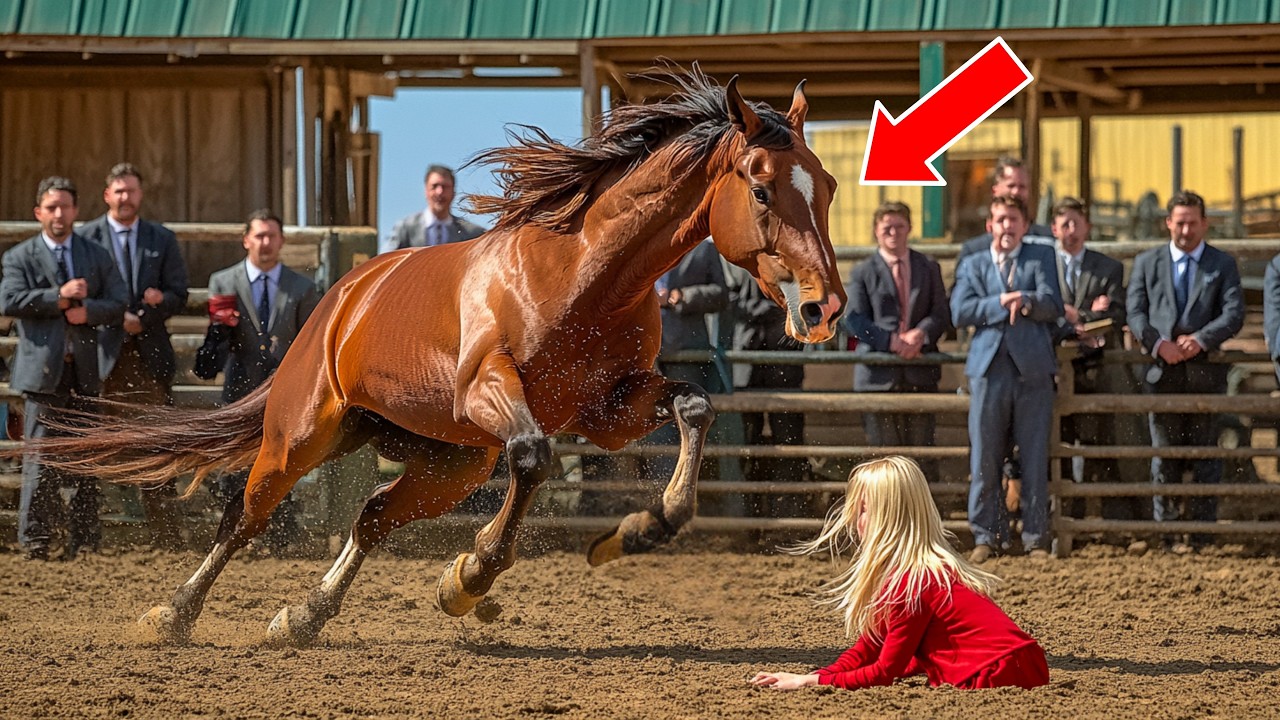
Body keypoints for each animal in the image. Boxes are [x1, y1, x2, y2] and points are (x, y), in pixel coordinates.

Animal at [27, 68, 846, 646]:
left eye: (830, 185)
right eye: (763, 189)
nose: (823, 307)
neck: (582, 272)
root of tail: (340, 297)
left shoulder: (609, 408)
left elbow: (694, 405)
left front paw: (646, 527)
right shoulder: (490, 392)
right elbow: (533, 456)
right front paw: (474, 571)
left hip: (449, 463)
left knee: (371, 518)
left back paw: (305, 616)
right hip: (302, 436)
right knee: (242, 518)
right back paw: (173, 615)